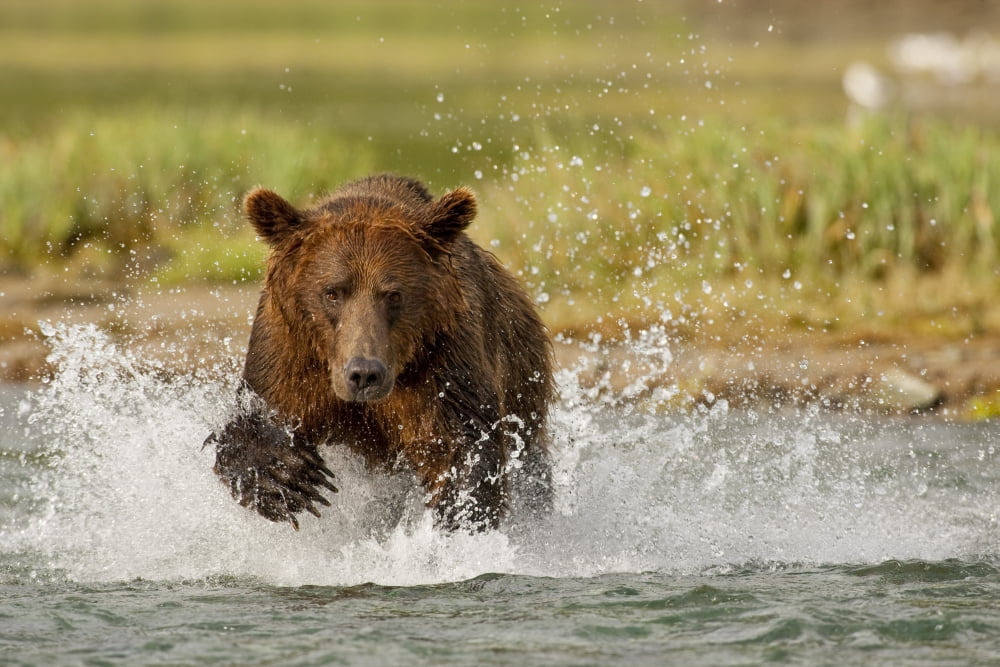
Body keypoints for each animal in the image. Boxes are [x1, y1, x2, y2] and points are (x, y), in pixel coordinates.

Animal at [206, 174, 554, 532]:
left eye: (393, 294)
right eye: (332, 292)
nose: (363, 374)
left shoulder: (446, 360)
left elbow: (459, 449)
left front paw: (458, 515)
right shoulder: (287, 351)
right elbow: (259, 418)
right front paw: (288, 474)